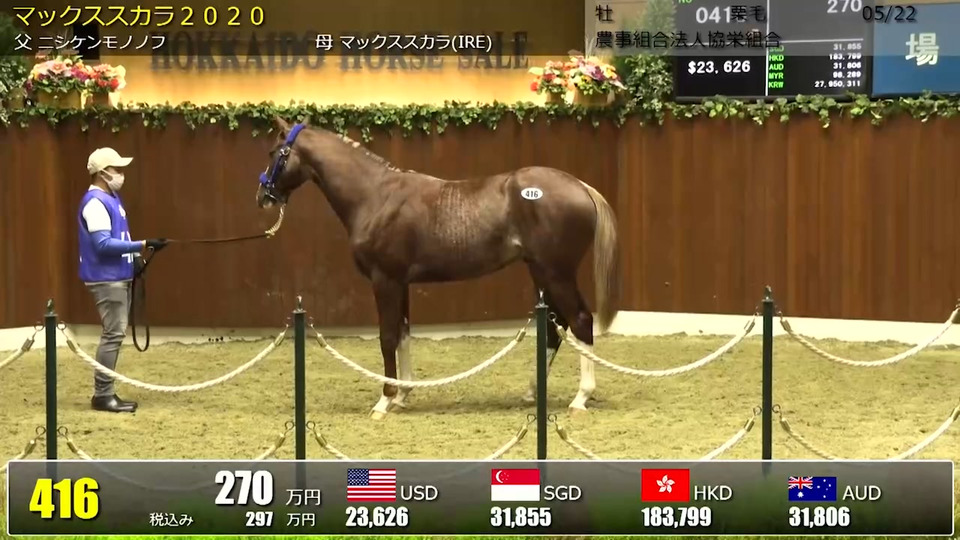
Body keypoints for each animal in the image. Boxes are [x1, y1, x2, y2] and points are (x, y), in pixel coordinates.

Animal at [256, 117, 621, 419]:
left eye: (275, 152)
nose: (263, 196)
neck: (375, 196)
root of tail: (581, 186)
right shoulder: (400, 283)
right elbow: (403, 332)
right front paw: (403, 395)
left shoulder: (384, 280)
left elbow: (387, 336)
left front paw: (384, 400)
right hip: (541, 273)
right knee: (554, 328)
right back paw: (533, 391)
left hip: (556, 272)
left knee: (580, 320)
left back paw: (581, 397)